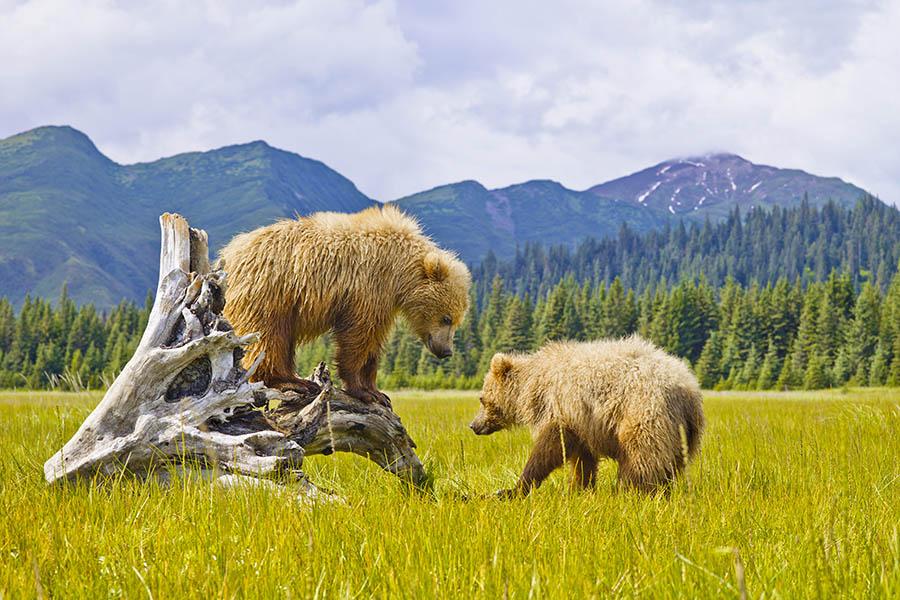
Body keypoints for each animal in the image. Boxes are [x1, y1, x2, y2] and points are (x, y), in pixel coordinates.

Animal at [219, 204, 471, 405]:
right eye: (446, 318)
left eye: (457, 321)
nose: (446, 351)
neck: (399, 273)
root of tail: (227, 253)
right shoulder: (367, 287)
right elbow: (357, 335)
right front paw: (361, 390)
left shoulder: (384, 302)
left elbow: (374, 341)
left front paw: (378, 391)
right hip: (268, 291)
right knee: (267, 337)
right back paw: (289, 382)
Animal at [469, 335, 704, 495]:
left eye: (481, 398)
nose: (473, 425)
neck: (532, 385)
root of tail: (687, 390)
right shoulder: (582, 421)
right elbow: (582, 458)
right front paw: (580, 488)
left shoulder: (559, 406)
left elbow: (550, 447)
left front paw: (516, 487)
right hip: (684, 433)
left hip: (643, 412)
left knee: (641, 457)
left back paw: (629, 490)